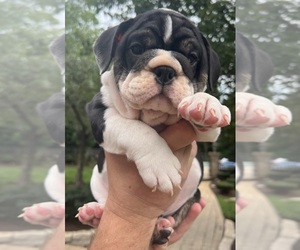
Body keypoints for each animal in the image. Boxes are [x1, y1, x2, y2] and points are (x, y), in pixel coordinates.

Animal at [79, 8, 230, 245]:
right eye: (136, 49)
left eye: (192, 57)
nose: (165, 70)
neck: (154, 117)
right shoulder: (98, 112)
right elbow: (133, 128)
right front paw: (161, 163)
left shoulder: (209, 134)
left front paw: (205, 103)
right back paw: (95, 212)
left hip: (192, 196)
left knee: (174, 216)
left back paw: (160, 227)